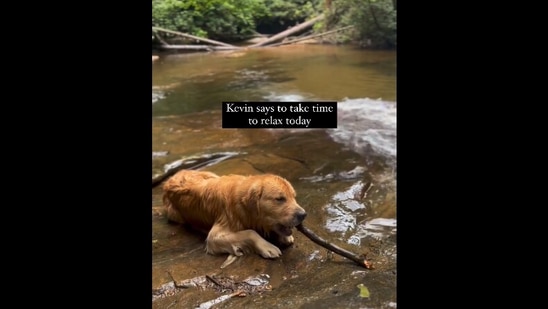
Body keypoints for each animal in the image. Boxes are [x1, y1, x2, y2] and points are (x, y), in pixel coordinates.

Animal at [163, 170, 308, 258]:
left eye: (293, 197)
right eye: (280, 199)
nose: (303, 214)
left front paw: (284, 237)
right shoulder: (214, 236)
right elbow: (250, 232)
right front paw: (267, 247)